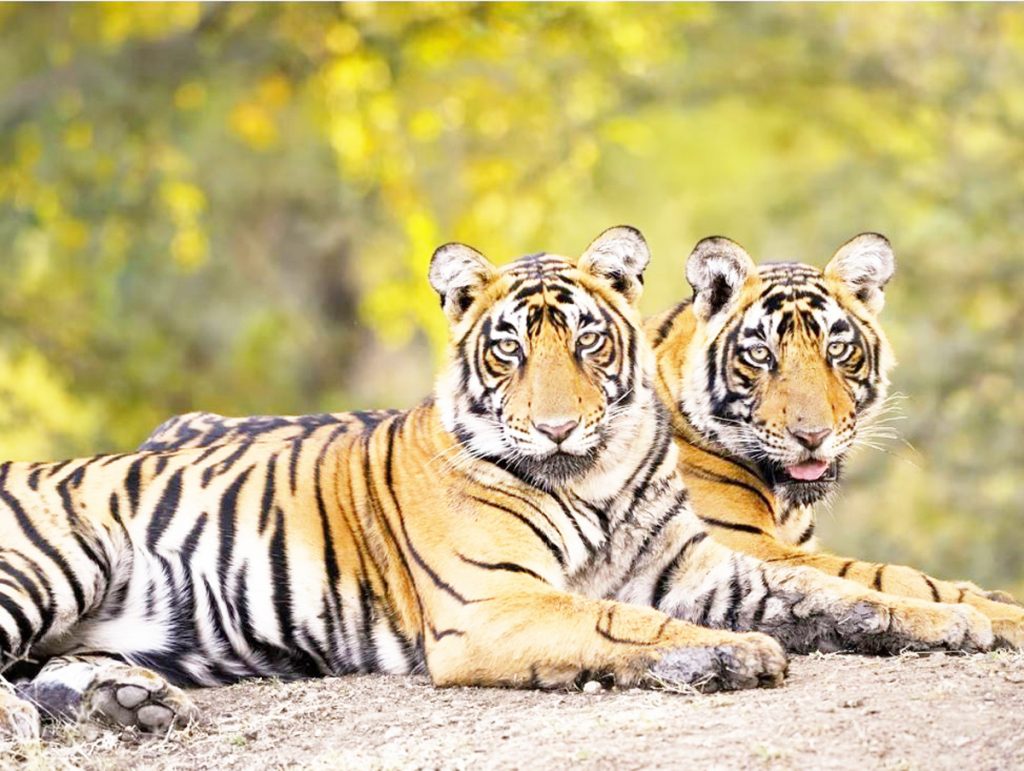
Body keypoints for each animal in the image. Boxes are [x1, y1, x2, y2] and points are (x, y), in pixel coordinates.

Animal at [0, 227, 997, 742]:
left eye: (587, 340)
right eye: (510, 347)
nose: (557, 426)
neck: (593, 475)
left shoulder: (712, 568)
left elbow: (849, 588)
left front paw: (957, 621)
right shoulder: (495, 604)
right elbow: (619, 620)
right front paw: (732, 655)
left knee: (46, 671)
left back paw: (131, 703)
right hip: (56, 559)